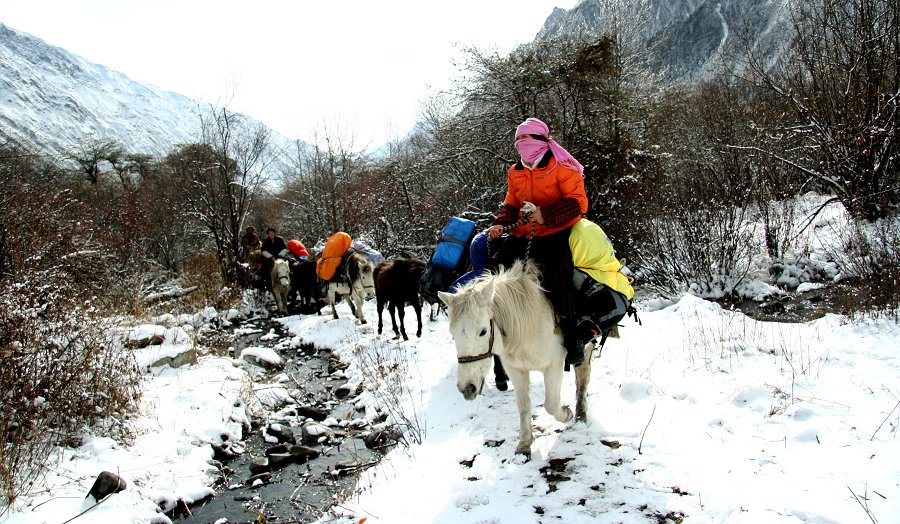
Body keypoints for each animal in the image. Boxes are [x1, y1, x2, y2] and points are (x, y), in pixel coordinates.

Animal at [438, 262, 596, 458]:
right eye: (453, 334)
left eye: (483, 331)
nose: (467, 388)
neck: (528, 327)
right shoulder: (516, 370)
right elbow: (523, 406)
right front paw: (524, 445)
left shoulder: (554, 365)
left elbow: (551, 405)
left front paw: (567, 414)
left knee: (583, 375)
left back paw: (581, 413)